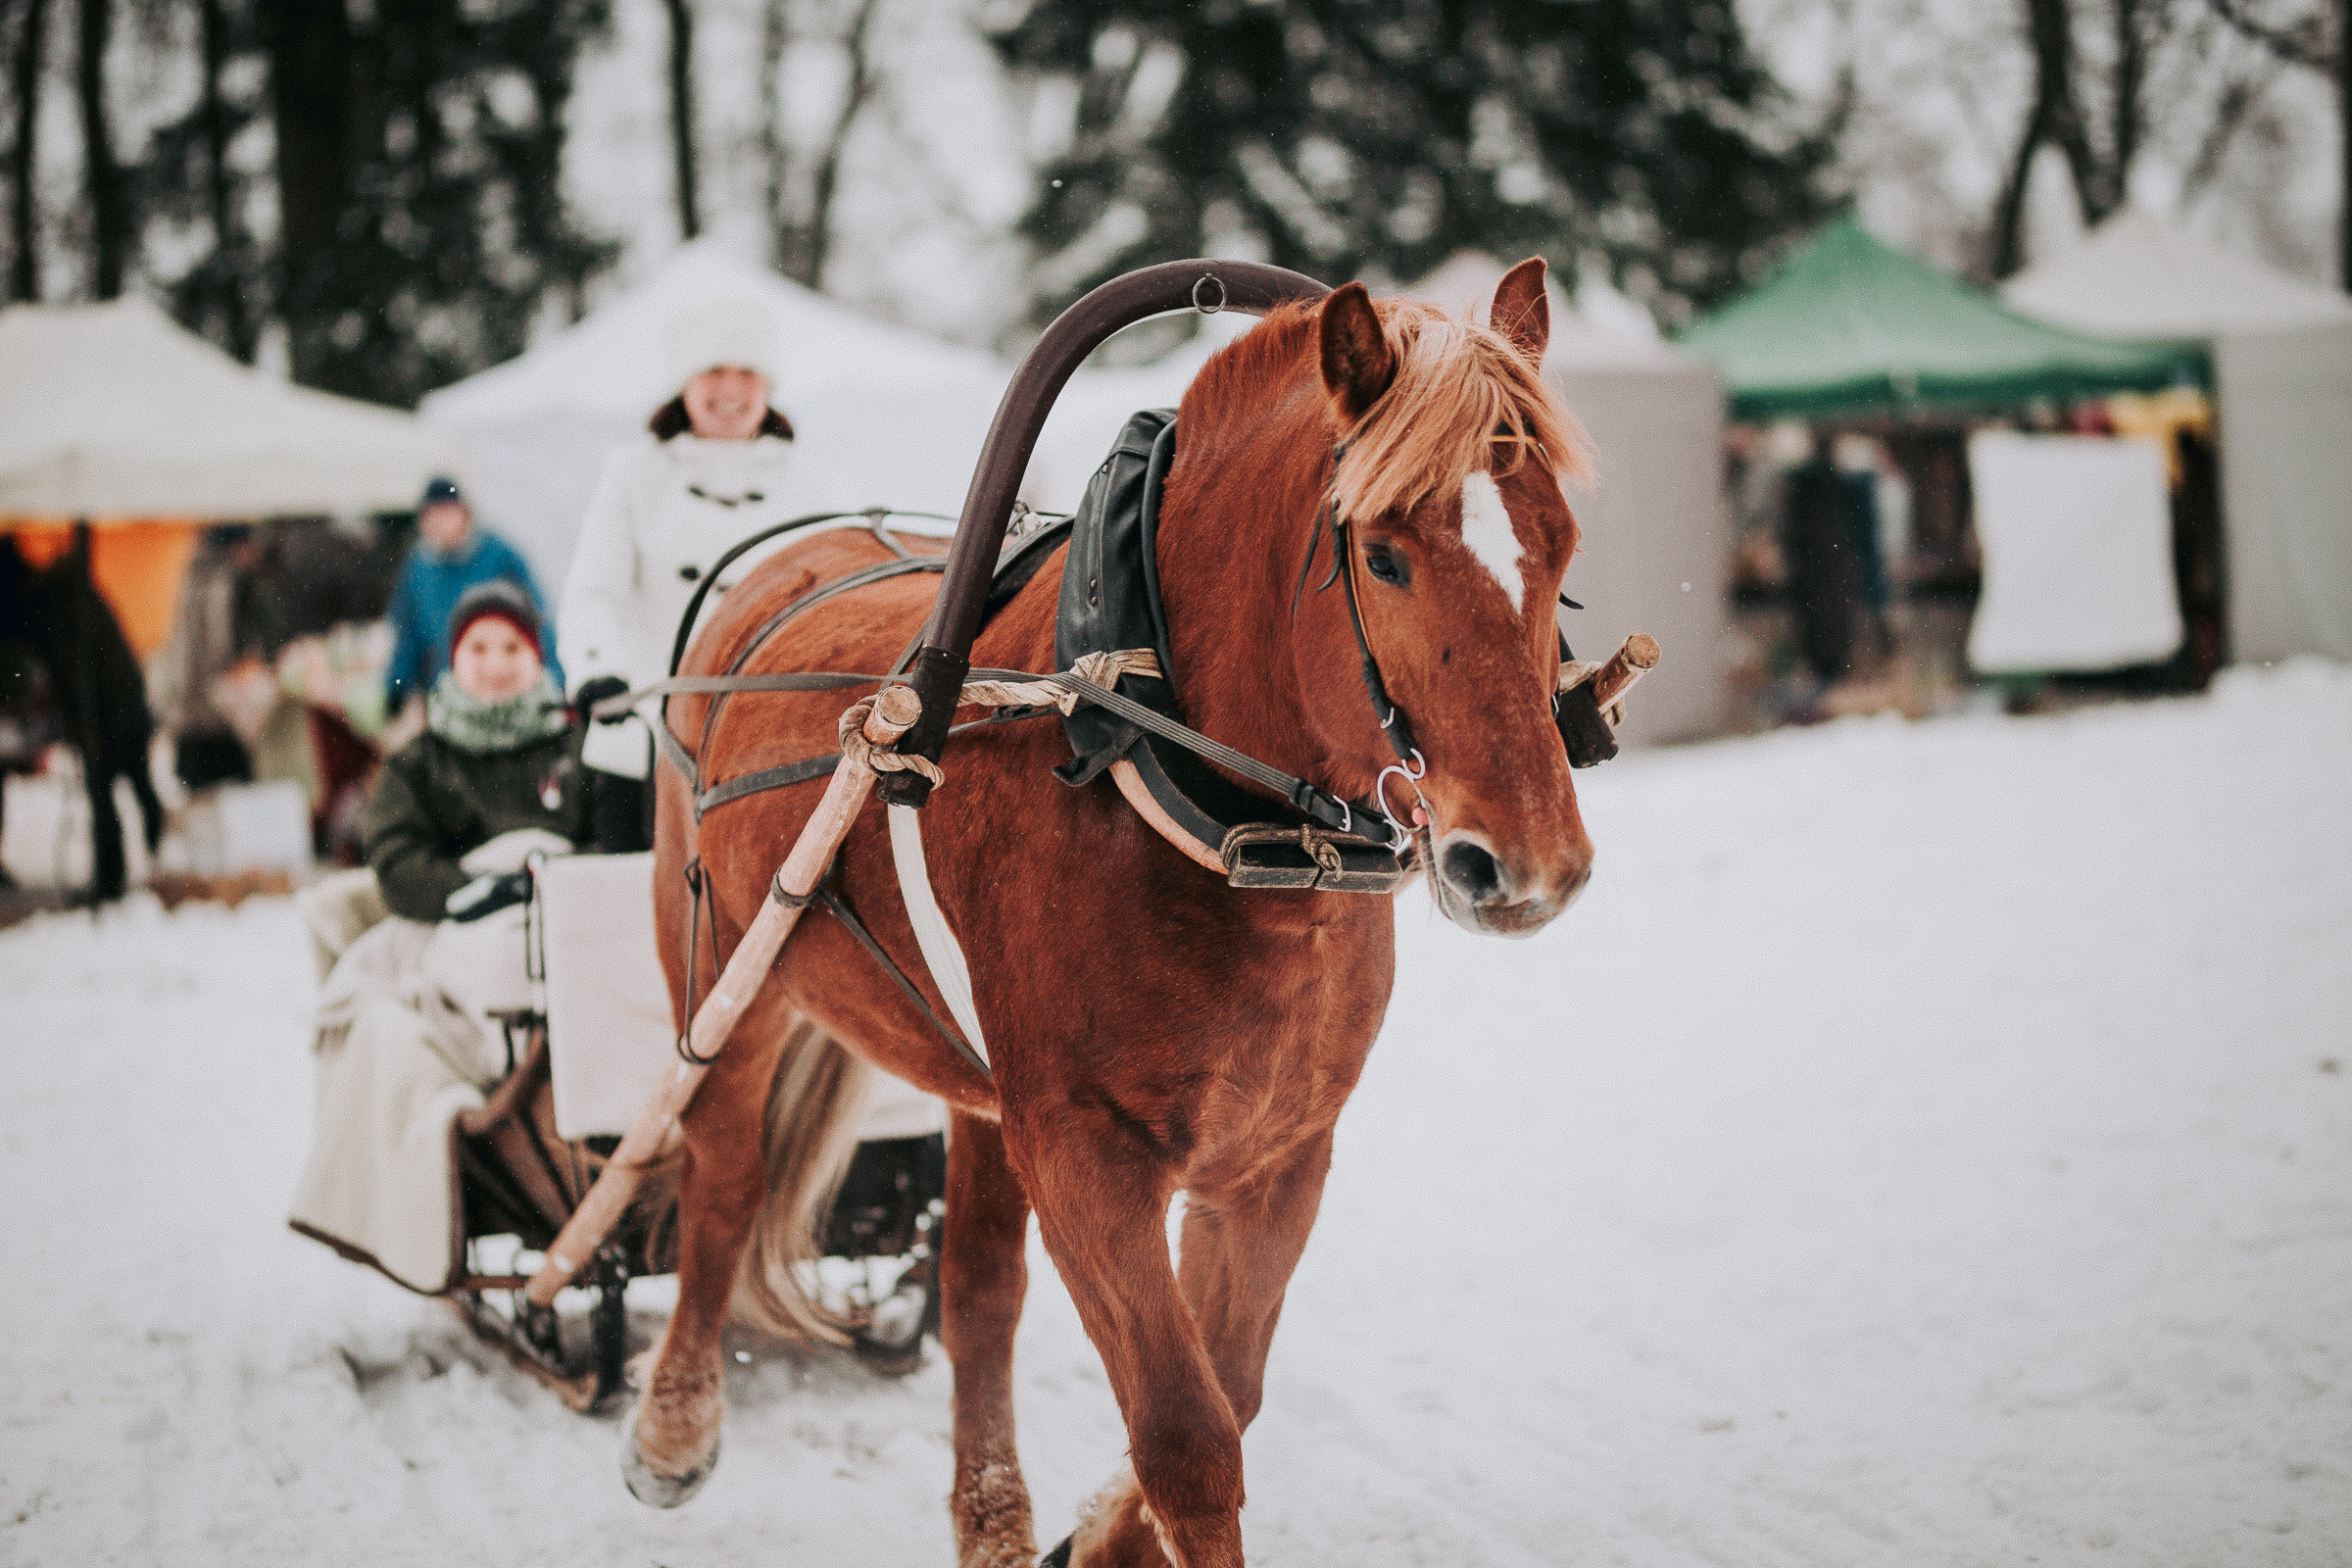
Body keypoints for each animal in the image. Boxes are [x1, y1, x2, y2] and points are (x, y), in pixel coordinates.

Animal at [639, 263, 1599, 1568]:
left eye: (1560, 540)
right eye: (1387, 556)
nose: (1532, 863)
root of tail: (790, 561)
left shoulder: (1276, 1155)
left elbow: (1227, 1387)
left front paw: (1099, 1536)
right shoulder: (1085, 1152)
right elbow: (1188, 1435)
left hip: (980, 1087)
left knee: (977, 1290)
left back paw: (993, 1513)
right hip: (732, 971)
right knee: (723, 1173)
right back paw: (673, 1420)